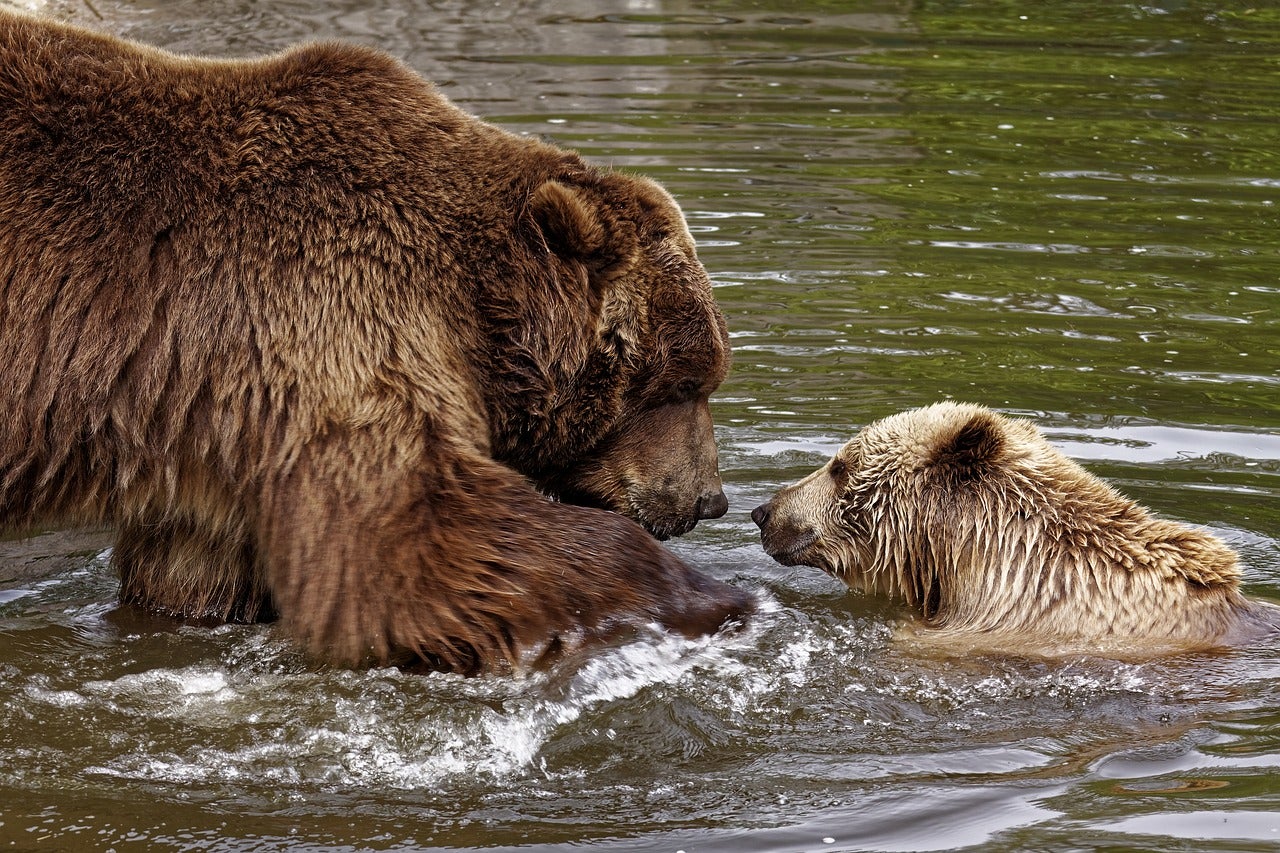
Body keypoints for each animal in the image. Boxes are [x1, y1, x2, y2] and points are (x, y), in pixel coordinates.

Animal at [2, 6, 747, 671]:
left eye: (703, 377)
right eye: (682, 383)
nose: (709, 499)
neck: (475, 312)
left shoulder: (211, 424)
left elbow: (190, 575)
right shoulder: (336, 316)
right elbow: (413, 540)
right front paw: (710, 598)